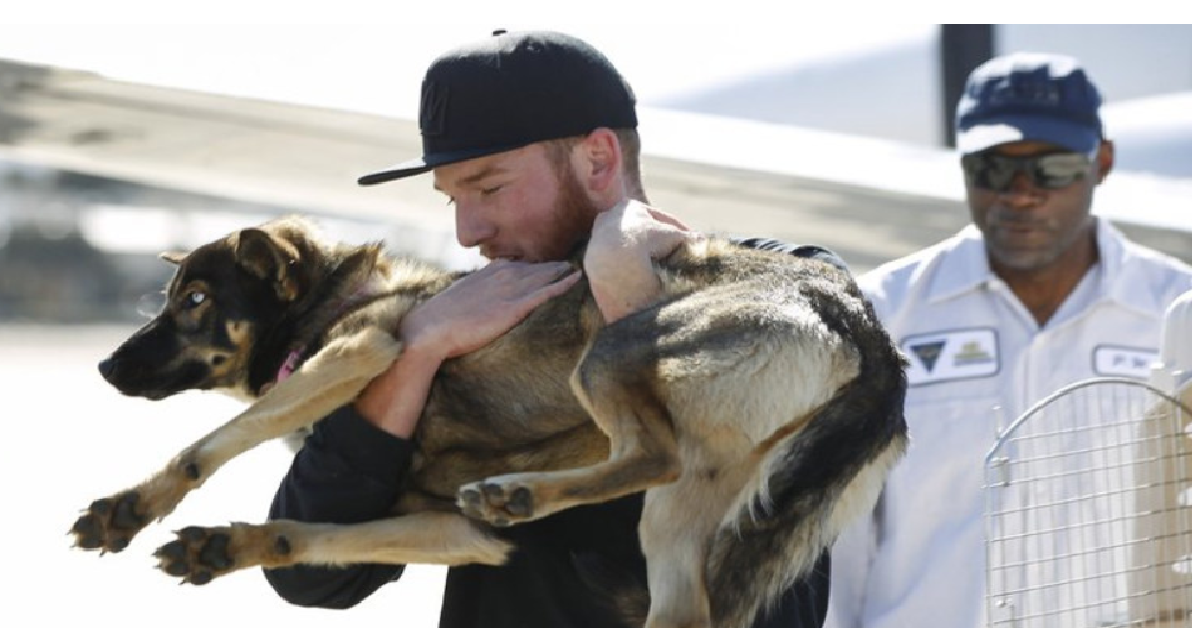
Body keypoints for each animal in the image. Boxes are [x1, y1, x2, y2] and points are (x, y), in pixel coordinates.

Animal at [70, 216, 902, 628]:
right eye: (174, 297)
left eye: (196, 302)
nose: (106, 367)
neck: (339, 301)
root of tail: (866, 333)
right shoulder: (456, 531)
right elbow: (312, 536)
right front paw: (223, 545)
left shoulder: (360, 351)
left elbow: (211, 444)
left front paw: (129, 507)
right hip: (694, 510)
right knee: (684, 608)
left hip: (612, 356)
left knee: (652, 455)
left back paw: (522, 492)